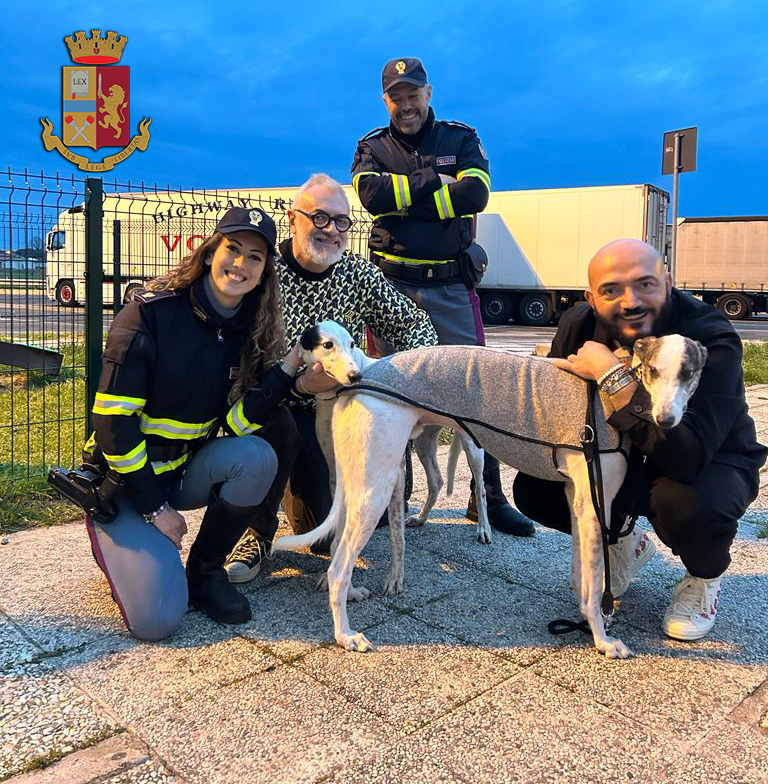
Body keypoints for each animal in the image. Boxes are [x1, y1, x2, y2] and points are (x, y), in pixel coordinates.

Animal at [276, 322, 708, 660]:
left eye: (688, 373)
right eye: (653, 370)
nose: (666, 420)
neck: (602, 394)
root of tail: (358, 380)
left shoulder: (576, 497)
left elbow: (582, 572)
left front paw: (586, 612)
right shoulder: (593, 504)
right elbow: (594, 579)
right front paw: (602, 638)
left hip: (359, 481)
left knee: (338, 547)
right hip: (376, 490)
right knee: (338, 568)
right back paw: (345, 635)